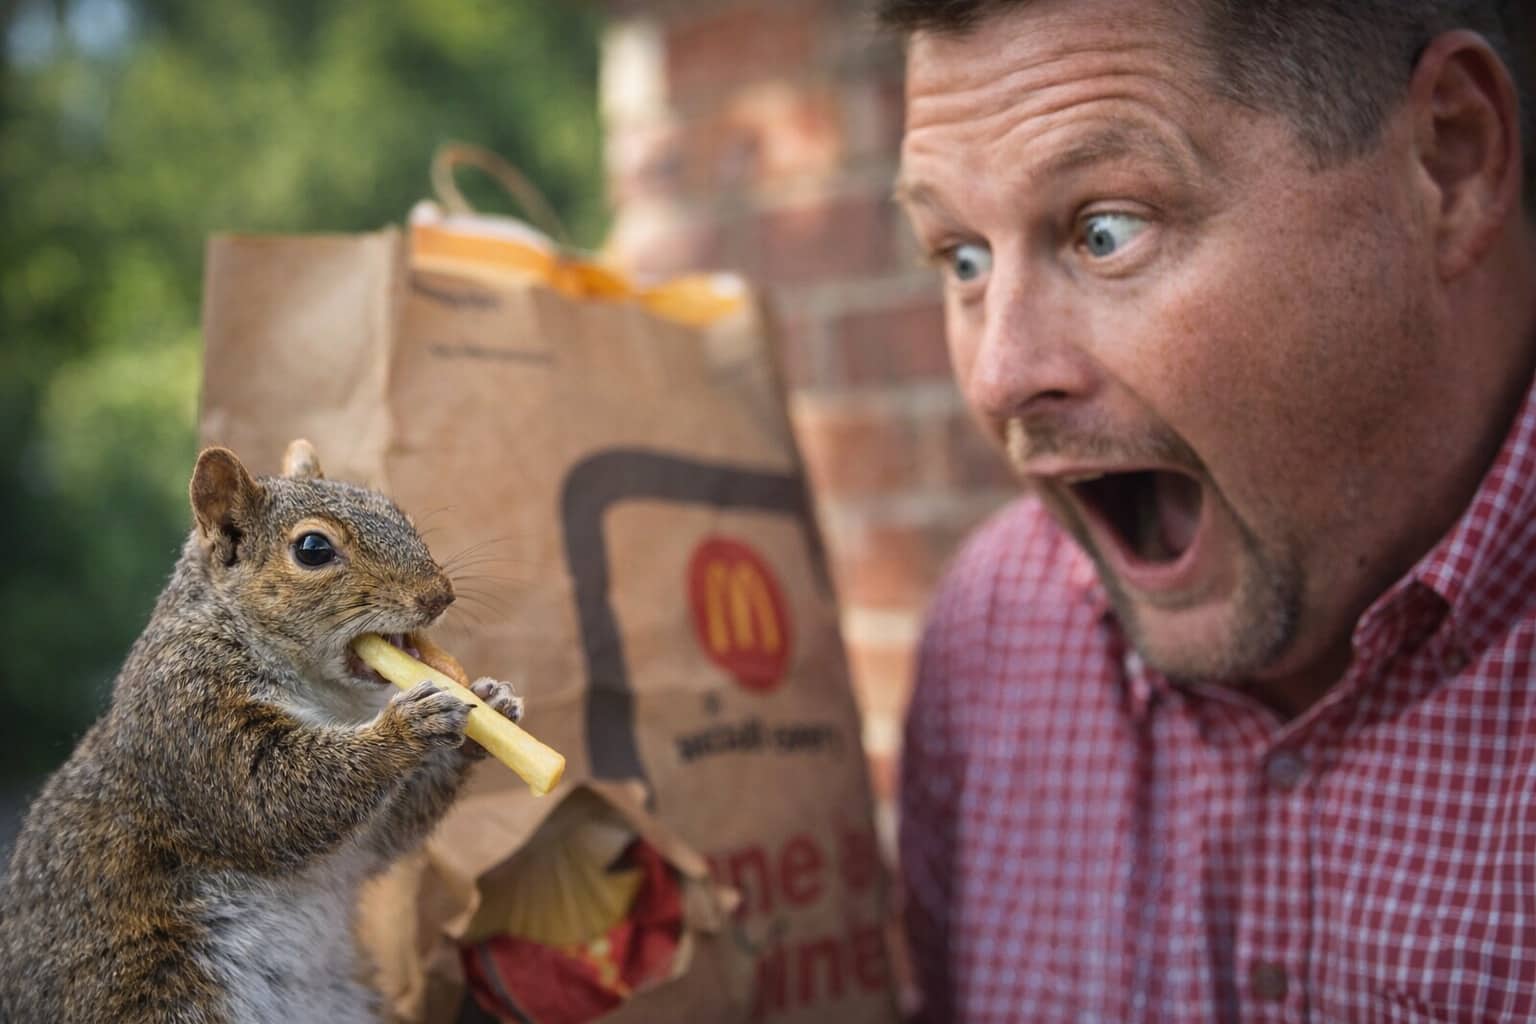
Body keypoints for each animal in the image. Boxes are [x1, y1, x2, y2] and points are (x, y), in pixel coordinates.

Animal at [0, 440, 523, 1023]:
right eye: (313, 548)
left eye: (396, 511)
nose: (440, 596)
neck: (329, 698)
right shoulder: (186, 715)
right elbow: (265, 799)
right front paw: (408, 727)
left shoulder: (363, 840)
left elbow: (390, 828)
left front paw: (490, 710)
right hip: (164, 995)